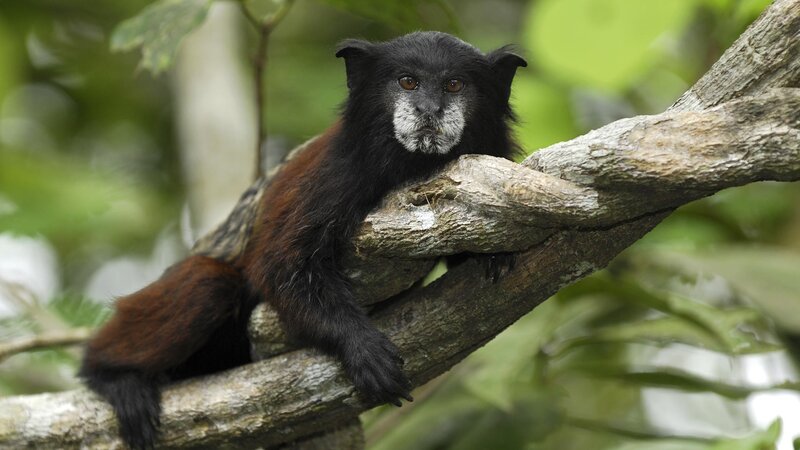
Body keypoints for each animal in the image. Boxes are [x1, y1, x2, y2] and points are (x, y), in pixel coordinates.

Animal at [79, 31, 526, 449]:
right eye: (408, 82)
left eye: (453, 85)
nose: (428, 111)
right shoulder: (332, 175)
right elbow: (280, 266)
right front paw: (360, 346)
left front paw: (490, 256)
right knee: (208, 284)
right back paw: (112, 374)